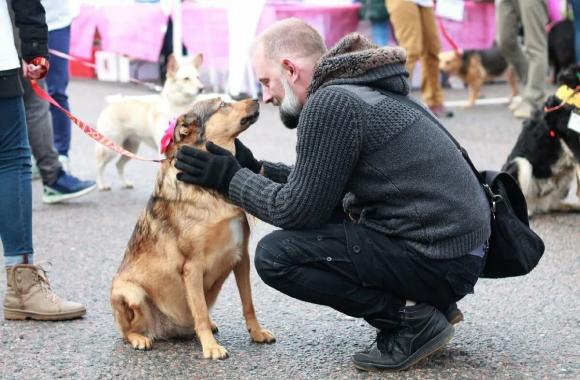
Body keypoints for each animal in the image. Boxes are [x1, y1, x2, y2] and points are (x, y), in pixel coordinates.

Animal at [98, 53, 207, 190]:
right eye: (186, 79)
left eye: (198, 77)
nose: (202, 88)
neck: (177, 106)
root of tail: (113, 102)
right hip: (110, 148)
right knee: (100, 165)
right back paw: (102, 184)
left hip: (131, 148)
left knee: (118, 165)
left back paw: (125, 183)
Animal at [111, 97, 278, 360]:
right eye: (222, 105)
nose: (257, 99)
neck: (210, 190)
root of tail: (167, 330)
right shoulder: (192, 266)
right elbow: (199, 311)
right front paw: (210, 347)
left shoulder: (241, 257)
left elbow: (248, 303)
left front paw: (257, 333)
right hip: (128, 291)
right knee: (127, 331)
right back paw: (140, 338)